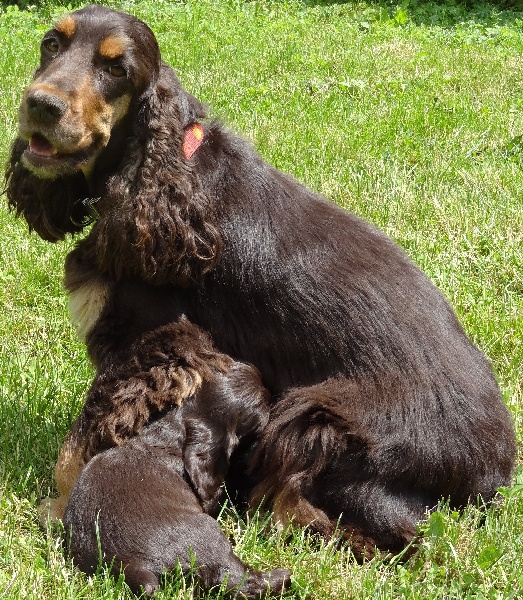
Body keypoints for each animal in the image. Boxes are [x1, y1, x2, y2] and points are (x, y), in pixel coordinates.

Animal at [63, 360, 290, 596]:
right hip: (207, 535)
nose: (273, 394)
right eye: (261, 411)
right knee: (235, 578)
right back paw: (281, 578)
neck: (172, 431)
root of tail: (132, 565)